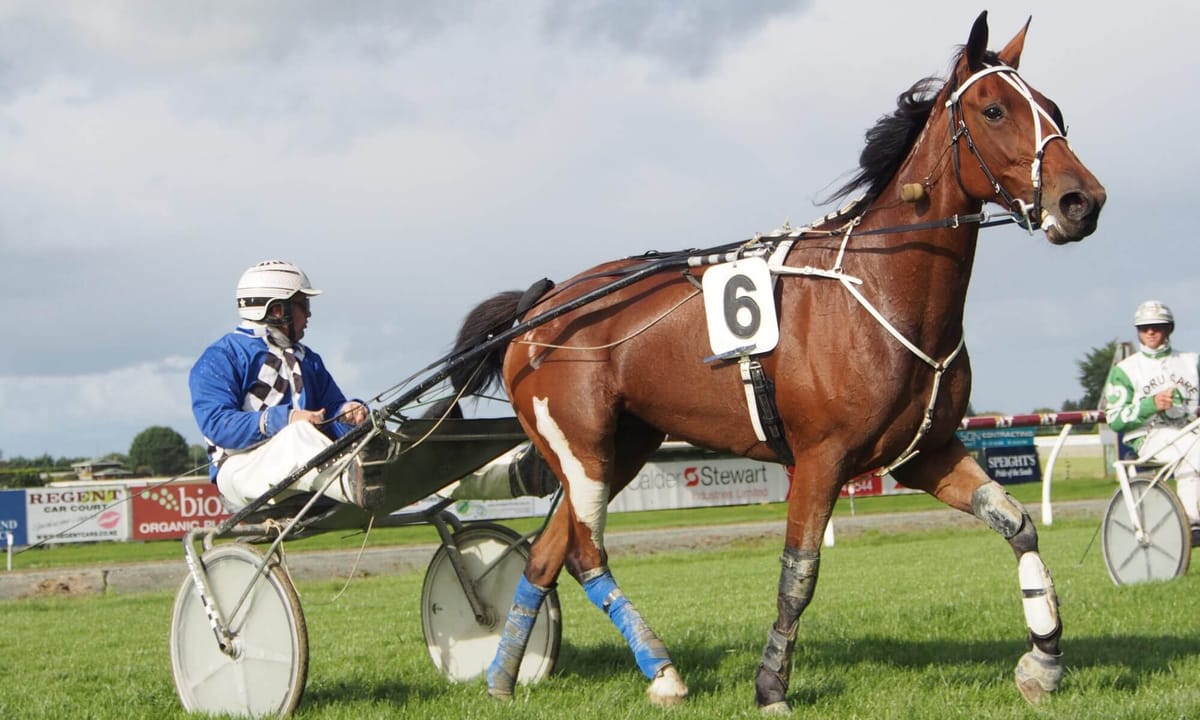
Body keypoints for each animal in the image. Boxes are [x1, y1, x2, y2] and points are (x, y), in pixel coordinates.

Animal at [446, 12, 1099, 715]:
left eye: (1055, 108)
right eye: (995, 109)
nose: (1083, 200)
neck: (879, 285)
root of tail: (539, 307)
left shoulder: (925, 451)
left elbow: (1018, 526)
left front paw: (1043, 663)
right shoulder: (820, 459)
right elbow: (799, 575)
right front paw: (771, 687)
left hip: (623, 447)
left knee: (546, 554)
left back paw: (503, 679)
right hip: (583, 448)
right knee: (585, 551)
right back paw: (661, 672)